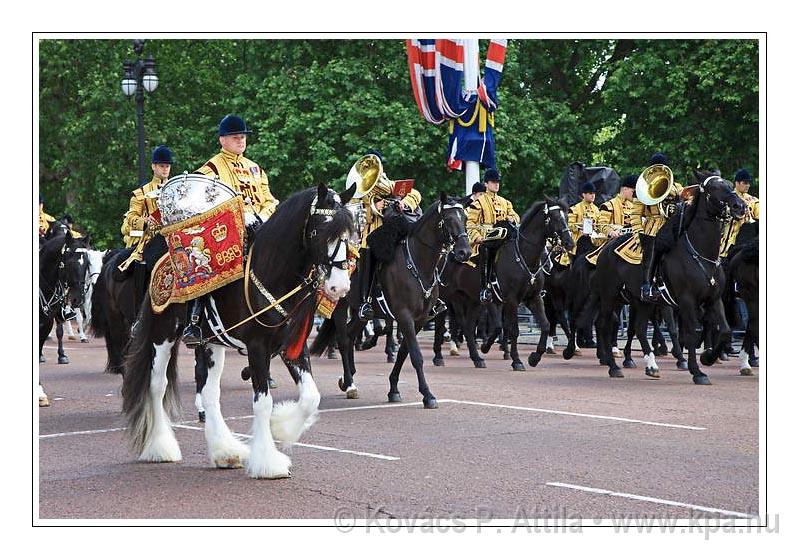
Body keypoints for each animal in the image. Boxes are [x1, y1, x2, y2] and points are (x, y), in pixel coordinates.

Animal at [308, 195, 472, 410]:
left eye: (465, 218)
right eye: (448, 218)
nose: (464, 252)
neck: (418, 263)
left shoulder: (418, 319)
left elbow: (404, 352)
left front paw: (393, 388)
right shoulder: (404, 315)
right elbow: (416, 356)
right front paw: (427, 395)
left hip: (360, 313)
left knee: (351, 335)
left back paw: (347, 377)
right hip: (340, 306)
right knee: (343, 340)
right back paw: (350, 384)